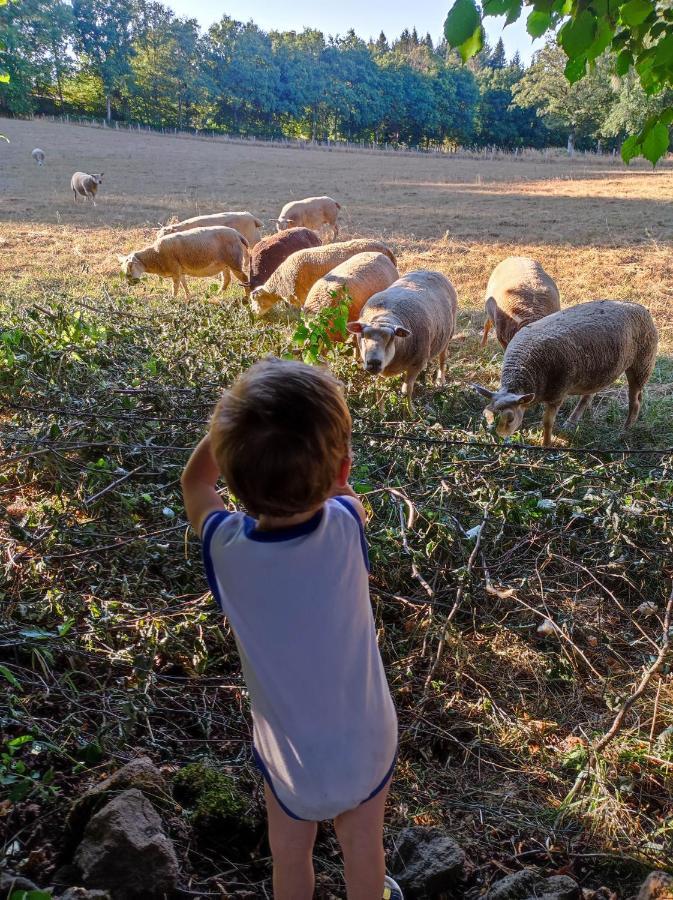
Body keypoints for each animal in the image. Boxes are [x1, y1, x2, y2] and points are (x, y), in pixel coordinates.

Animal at [117, 225, 249, 298]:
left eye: (130, 267)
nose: (130, 284)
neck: (155, 255)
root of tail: (237, 234)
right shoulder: (180, 271)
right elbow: (183, 284)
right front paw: (188, 298)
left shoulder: (175, 270)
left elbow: (175, 286)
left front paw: (173, 299)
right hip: (224, 264)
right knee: (226, 280)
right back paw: (217, 295)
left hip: (234, 261)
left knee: (245, 279)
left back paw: (247, 298)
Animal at [346, 268, 456, 414]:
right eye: (363, 336)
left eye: (391, 338)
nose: (374, 362)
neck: (384, 318)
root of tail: (430, 270)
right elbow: (379, 389)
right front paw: (381, 413)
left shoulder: (416, 364)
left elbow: (406, 390)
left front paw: (410, 412)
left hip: (449, 334)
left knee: (443, 358)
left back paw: (440, 380)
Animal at [472, 300, 656, 444]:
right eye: (486, 415)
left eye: (510, 418)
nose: (496, 438)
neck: (524, 368)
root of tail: (639, 306)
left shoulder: (557, 393)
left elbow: (547, 423)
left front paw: (546, 445)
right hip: (597, 372)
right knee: (588, 396)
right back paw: (572, 422)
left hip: (642, 364)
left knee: (635, 401)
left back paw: (625, 430)